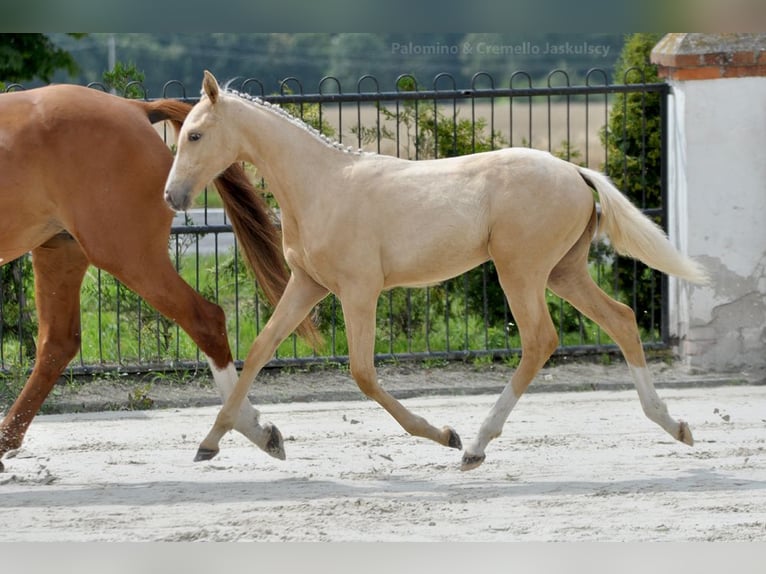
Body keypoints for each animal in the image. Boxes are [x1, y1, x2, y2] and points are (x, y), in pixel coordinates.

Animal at [0, 83, 316, 472]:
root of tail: (134, 108)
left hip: (127, 253)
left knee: (205, 319)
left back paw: (242, 428)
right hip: (60, 250)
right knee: (57, 344)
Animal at [164, 71, 708, 471]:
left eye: (195, 134)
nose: (172, 197)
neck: (321, 185)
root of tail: (576, 172)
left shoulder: (359, 291)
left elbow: (363, 374)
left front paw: (444, 434)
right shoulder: (307, 285)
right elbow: (259, 350)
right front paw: (220, 442)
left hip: (521, 271)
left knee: (541, 340)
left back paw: (475, 447)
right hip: (563, 272)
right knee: (621, 319)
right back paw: (675, 425)